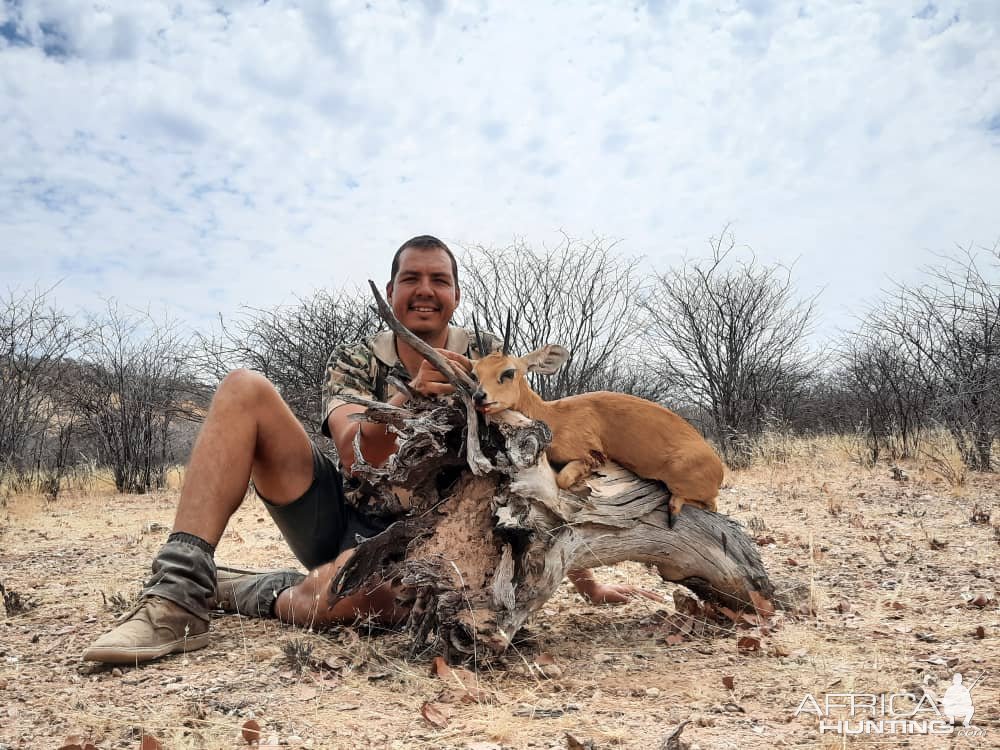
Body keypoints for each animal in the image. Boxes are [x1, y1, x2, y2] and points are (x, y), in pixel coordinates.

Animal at [468, 334, 720, 524]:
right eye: (475, 373)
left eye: (508, 372)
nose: (479, 397)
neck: (554, 416)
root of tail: (720, 468)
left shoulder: (590, 455)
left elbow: (564, 479)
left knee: (711, 505)